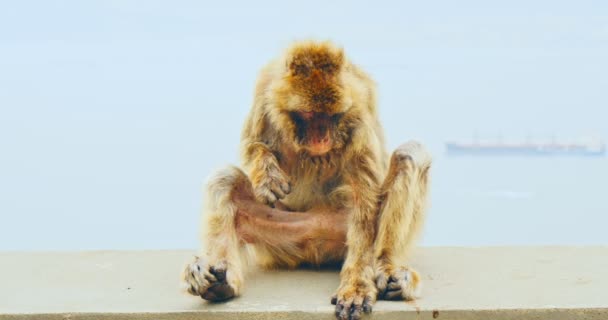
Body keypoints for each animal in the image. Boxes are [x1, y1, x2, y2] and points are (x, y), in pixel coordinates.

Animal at [183, 40, 430, 320]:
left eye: (332, 116)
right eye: (310, 115)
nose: (321, 138)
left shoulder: (359, 116)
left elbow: (364, 202)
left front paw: (356, 286)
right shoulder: (264, 89)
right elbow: (253, 145)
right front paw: (267, 175)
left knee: (409, 155)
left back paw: (389, 269)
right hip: (281, 241)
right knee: (224, 179)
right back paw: (219, 279)